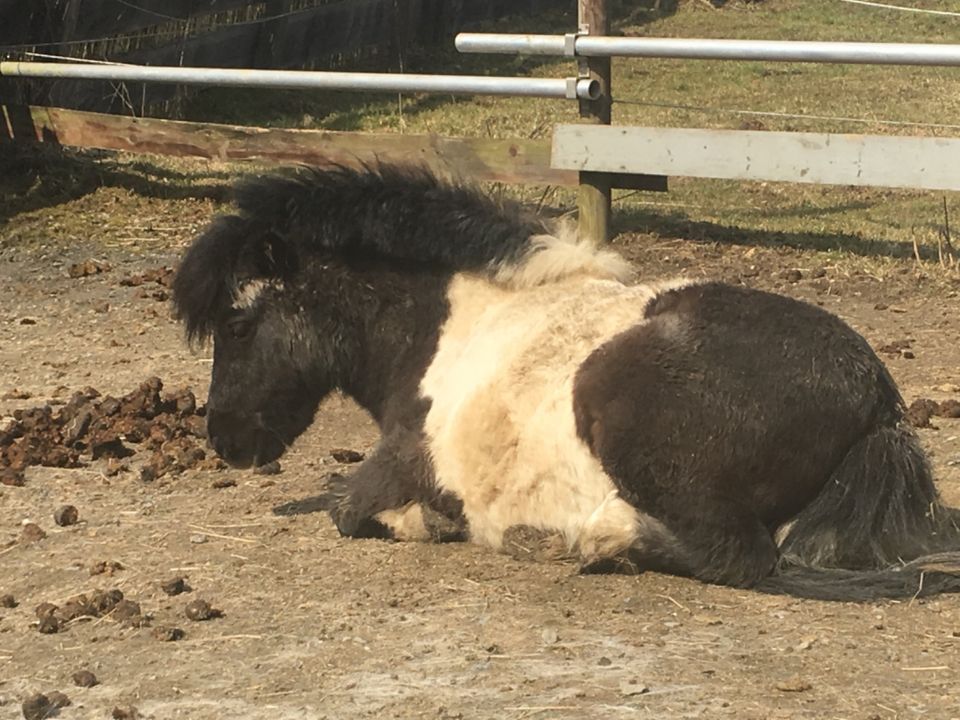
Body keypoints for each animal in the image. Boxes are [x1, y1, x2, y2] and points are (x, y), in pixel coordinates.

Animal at [172, 160, 960, 600]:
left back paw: (597, 538)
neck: (447, 328)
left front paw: (432, 521)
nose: (225, 440)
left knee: (739, 555)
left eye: (236, 326)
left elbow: (350, 510)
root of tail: (877, 399)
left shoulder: (399, 463)